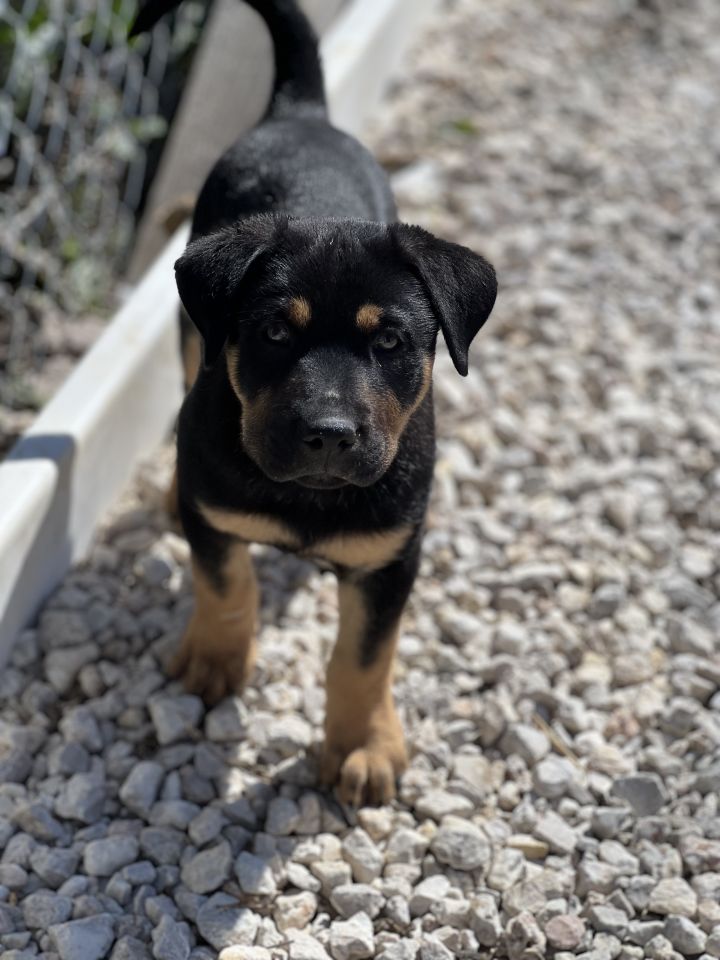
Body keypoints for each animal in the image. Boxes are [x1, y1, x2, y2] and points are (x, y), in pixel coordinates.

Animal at [131, 0, 496, 808]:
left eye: (389, 340)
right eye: (273, 331)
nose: (328, 434)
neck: (308, 496)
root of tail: (300, 110)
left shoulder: (391, 557)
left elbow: (362, 657)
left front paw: (361, 746)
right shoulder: (216, 511)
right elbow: (226, 583)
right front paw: (215, 659)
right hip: (189, 334)